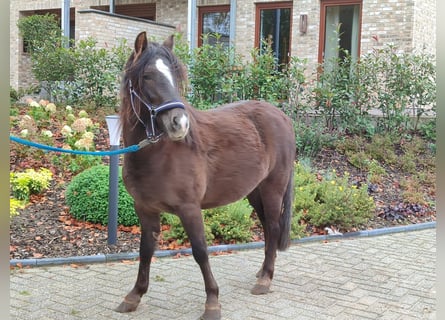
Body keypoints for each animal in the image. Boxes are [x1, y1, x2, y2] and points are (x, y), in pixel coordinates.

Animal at [117, 30, 294, 320]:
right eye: (147, 76)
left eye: (176, 74)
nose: (179, 123)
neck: (158, 153)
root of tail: (282, 116)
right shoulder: (144, 208)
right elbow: (145, 251)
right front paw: (134, 296)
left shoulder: (189, 208)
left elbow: (200, 251)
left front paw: (212, 302)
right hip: (254, 192)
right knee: (268, 228)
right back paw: (262, 272)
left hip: (273, 188)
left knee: (275, 226)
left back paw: (266, 279)